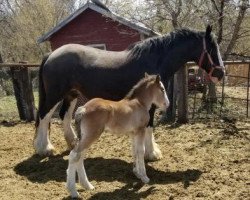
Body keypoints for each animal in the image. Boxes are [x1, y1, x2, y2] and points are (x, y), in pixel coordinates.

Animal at [33, 25, 225, 159]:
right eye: (212, 48)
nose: (221, 73)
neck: (155, 59)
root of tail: (51, 54)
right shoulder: (150, 104)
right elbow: (149, 126)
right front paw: (151, 154)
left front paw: (152, 150)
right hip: (54, 95)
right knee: (44, 116)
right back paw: (45, 148)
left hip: (71, 94)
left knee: (64, 115)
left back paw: (72, 143)